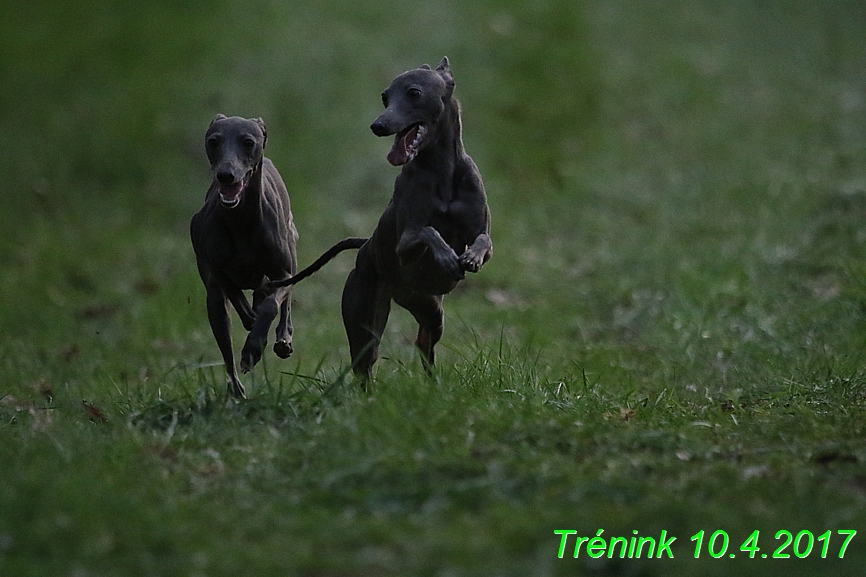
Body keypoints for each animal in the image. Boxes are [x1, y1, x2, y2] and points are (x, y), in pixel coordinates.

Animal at [189, 115, 296, 398]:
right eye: (213, 141)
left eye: (248, 142)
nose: (225, 175)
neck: (241, 220)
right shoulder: (216, 270)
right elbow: (239, 300)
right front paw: (252, 340)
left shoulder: (282, 272)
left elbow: (271, 305)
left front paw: (254, 346)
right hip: (215, 303)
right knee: (225, 342)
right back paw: (236, 390)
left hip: (292, 248)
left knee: (284, 303)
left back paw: (282, 337)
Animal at [270, 58, 490, 380]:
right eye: (385, 97)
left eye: (414, 93)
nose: (378, 126)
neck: (442, 173)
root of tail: (365, 246)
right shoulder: (405, 245)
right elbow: (427, 230)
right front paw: (447, 256)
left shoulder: (481, 233)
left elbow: (483, 240)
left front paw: (470, 257)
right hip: (366, 314)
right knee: (365, 362)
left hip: (430, 309)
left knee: (424, 343)